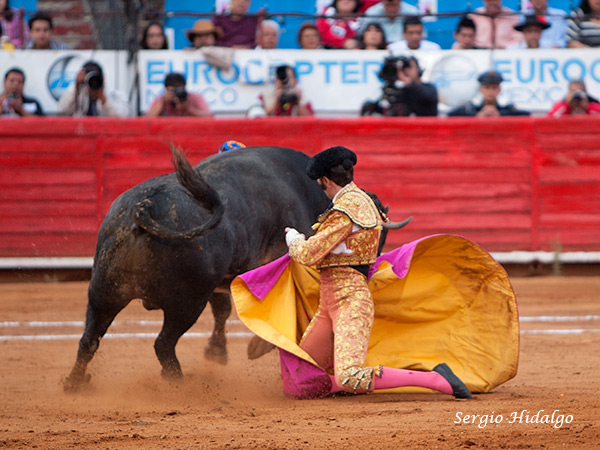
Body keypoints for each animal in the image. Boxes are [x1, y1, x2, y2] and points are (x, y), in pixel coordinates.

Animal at [63, 145, 400, 390]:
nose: (369, 269)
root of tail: (144, 207)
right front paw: (257, 347)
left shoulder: (221, 279)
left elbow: (223, 308)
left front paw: (217, 352)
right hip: (186, 301)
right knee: (163, 343)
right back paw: (178, 383)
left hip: (104, 291)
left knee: (89, 339)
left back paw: (75, 383)